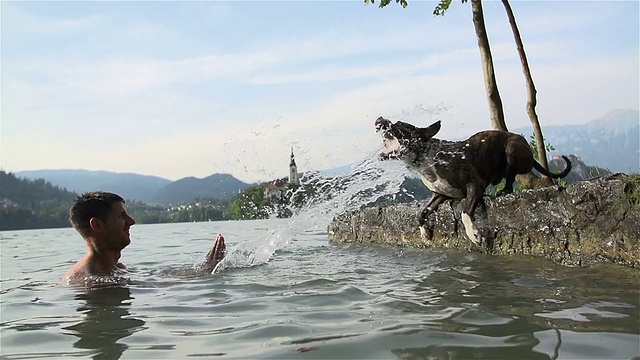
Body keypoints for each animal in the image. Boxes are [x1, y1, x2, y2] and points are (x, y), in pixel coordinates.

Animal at [372, 116, 572, 246]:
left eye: (399, 125)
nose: (380, 119)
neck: (427, 159)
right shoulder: (440, 194)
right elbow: (421, 213)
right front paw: (425, 233)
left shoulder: (475, 184)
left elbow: (465, 212)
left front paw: (474, 234)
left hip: (511, 149)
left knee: (510, 177)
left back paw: (505, 191)